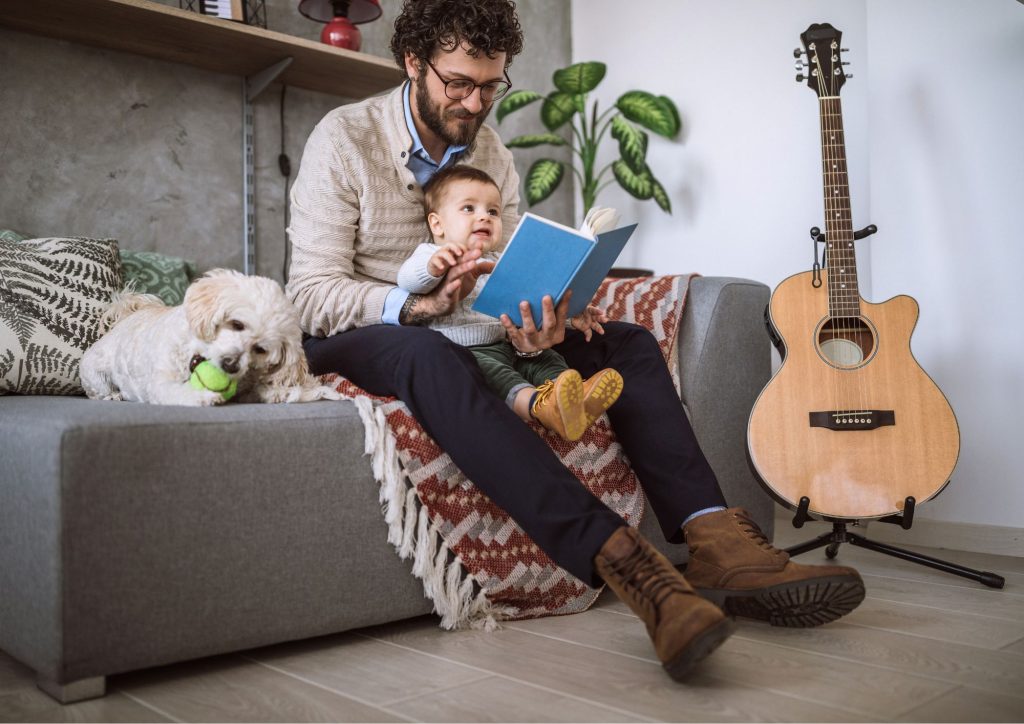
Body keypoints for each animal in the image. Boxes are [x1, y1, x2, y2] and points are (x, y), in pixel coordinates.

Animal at [80, 270, 335, 407]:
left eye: (260, 349)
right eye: (237, 324)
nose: (230, 364)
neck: (197, 352)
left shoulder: (244, 389)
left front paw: (282, 393)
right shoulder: (160, 385)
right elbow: (177, 391)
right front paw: (204, 396)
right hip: (96, 375)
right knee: (97, 391)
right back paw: (113, 395)